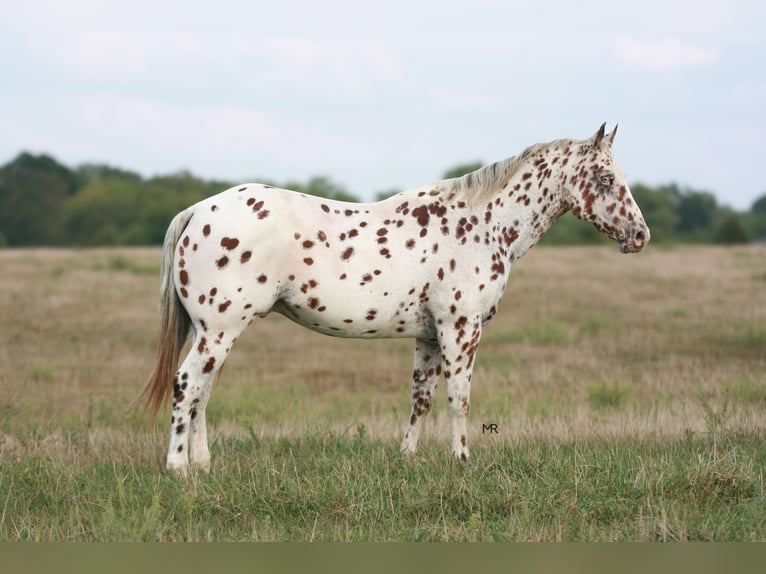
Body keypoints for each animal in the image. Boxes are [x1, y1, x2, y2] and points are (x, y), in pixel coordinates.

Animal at [140, 123, 650, 474]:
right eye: (605, 179)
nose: (639, 235)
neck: (483, 225)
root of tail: (198, 211)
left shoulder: (429, 336)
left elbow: (421, 398)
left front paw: (408, 458)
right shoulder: (460, 329)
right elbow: (459, 397)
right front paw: (462, 461)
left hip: (214, 333)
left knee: (203, 390)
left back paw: (203, 464)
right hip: (219, 330)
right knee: (187, 385)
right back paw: (178, 469)